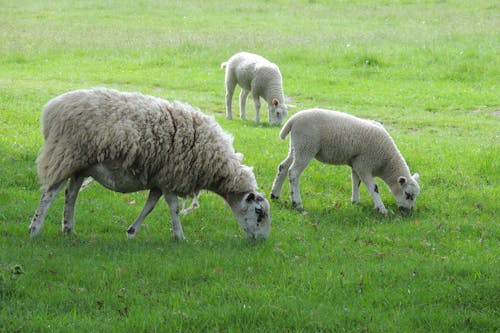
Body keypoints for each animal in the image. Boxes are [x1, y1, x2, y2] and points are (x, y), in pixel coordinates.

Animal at [29, 87, 272, 239]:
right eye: (259, 213)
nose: (261, 241)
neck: (216, 167)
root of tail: (51, 109)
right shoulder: (171, 177)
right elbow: (173, 207)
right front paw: (179, 236)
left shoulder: (159, 179)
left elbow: (150, 206)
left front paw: (132, 231)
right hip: (65, 155)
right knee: (49, 194)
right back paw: (35, 229)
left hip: (80, 165)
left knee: (70, 194)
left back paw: (69, 229)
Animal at [272, 107, 420, 214]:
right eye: (408, 194)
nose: (407, 211)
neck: (386, 162)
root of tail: (293, 119)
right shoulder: (364, 165)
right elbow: (374, 188)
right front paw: (381, 209)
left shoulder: (356, 164)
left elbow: (356, 182)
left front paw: (355, 202)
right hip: (306, 147)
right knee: (293, 173)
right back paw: (297, 203)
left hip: (296, 147)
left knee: (283, 167)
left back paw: (274, 195)